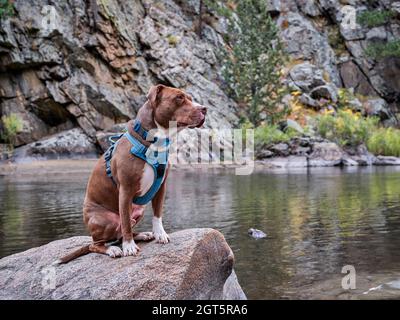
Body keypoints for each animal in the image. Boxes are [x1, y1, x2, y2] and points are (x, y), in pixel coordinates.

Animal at [57, 85, 208, 262]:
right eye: (179, 98)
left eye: (190, 98)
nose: (204, 109)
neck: (153, 141)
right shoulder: (125, 191)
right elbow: (126, 223)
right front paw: (129, 247)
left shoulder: (161, 187)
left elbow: (157, 214)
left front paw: (160, 234)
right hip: (104, 220)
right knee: (96, 244)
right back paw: (113, 249)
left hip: (138, 210)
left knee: (119, 234)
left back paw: (142, 235)